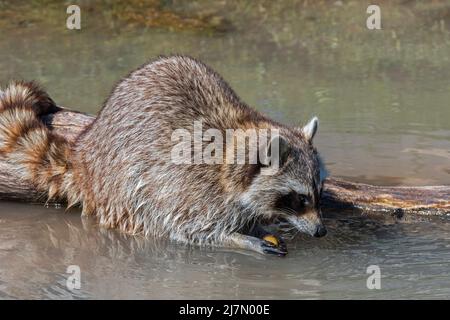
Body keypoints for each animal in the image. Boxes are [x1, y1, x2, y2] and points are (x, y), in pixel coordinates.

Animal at [1, 55, 328, 255]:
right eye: (300, 199)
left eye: (318, 192)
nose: (321, 231)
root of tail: (86, 153)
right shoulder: (191, 189)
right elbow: (190, 230)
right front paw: (239, 239)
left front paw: (257, 225)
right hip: (119, 182)